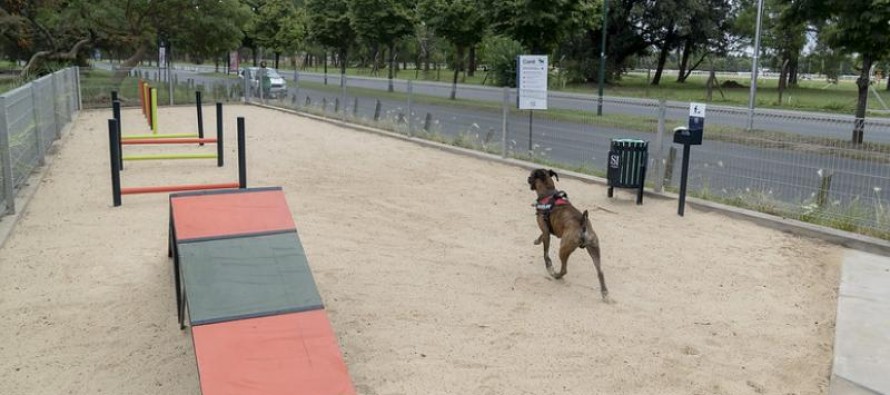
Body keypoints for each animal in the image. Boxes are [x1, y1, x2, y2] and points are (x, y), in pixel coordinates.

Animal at [524, 169, 608, 302]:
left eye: (531, 175)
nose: (527, 178)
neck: (548, 193)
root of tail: (583, 223)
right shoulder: (546, 231)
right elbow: (541, 236)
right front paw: (537, 241)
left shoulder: (546, 231)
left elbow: (545, 253)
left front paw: (549, 266)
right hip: (594, 249)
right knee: (600, 272)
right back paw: (604, 293)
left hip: (564, 248)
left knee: (564, 270)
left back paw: (556, 275)